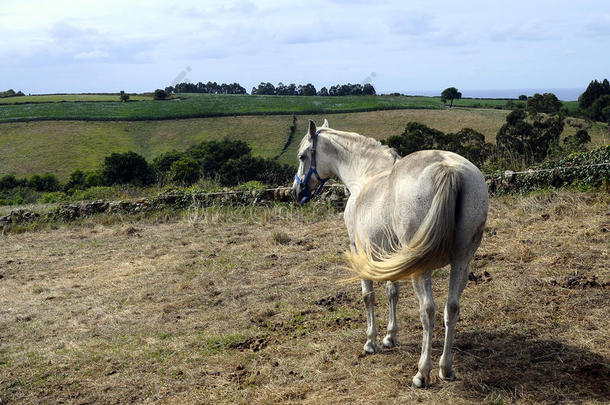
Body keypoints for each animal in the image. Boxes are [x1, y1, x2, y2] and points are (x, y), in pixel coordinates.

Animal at [292, 118, 486, 386]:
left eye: (302, 156)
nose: (296, 192)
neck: (366, 175)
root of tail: (447, 168)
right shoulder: (390, 255)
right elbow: (392, 292)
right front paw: (390, 337)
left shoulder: (362, 251)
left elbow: (369, 296)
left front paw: (371, 342)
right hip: (461, 261)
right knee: (452, 308)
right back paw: (445, 368)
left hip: (422, 267)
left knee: (428, 310)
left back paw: (422, 373)